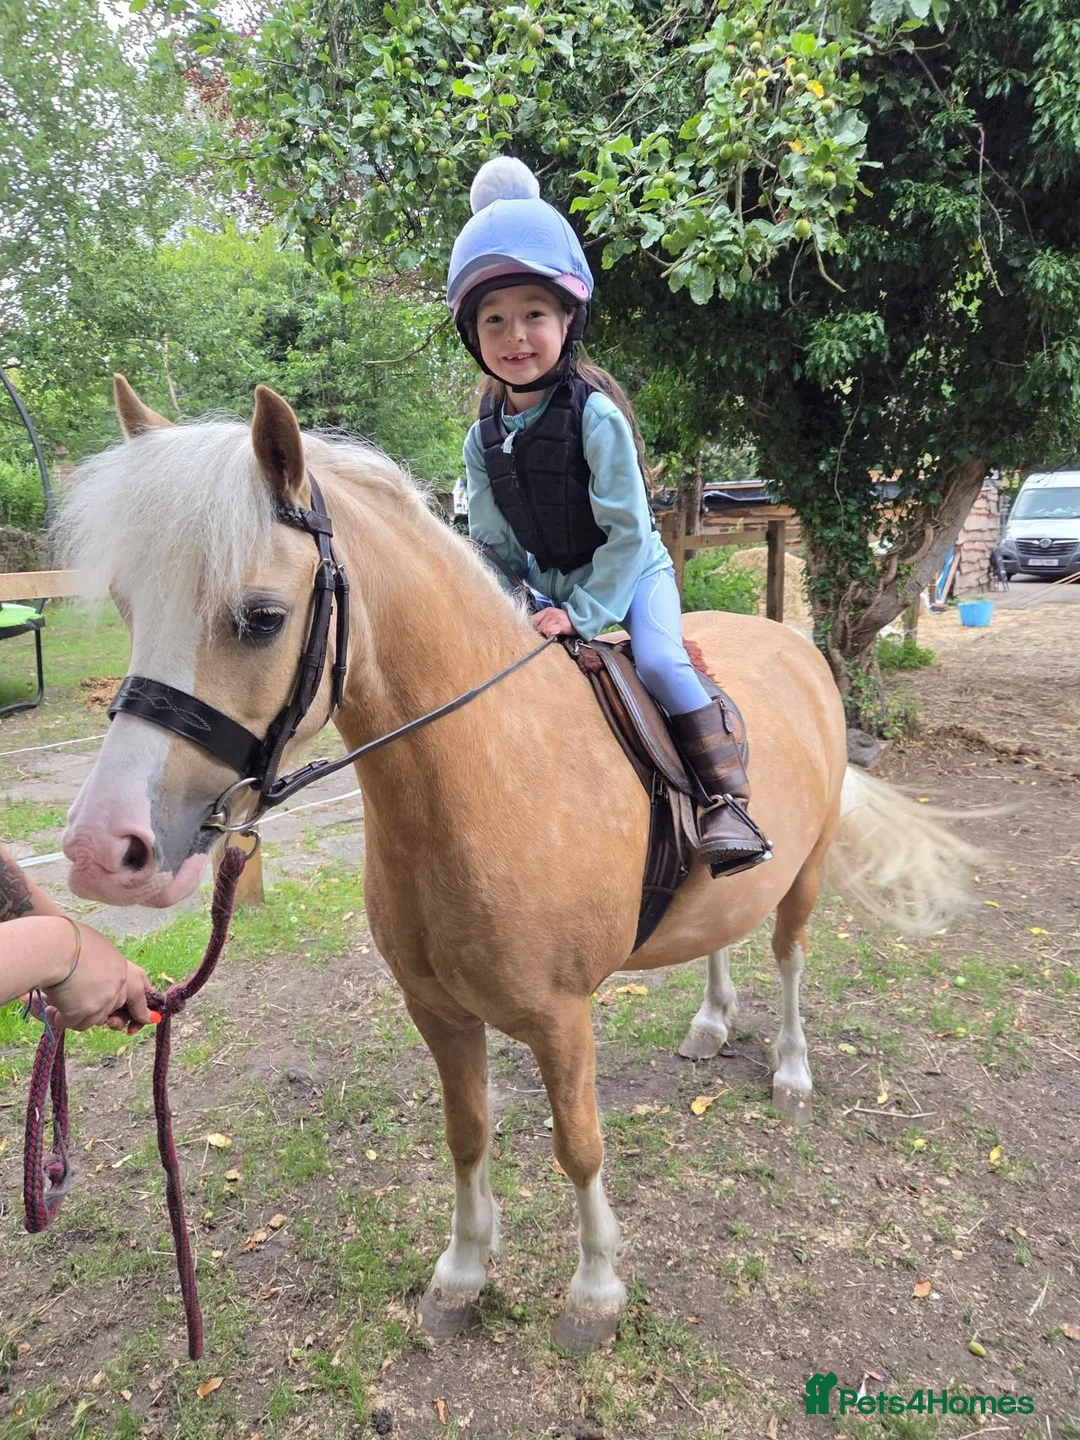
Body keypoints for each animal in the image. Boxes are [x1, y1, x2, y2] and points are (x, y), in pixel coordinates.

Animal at [59, 378, 976, 1352]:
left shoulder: (561, 1019)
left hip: (802, 876)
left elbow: (579, 1145)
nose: (102, 849)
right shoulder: (437, 1013)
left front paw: (595, 1290)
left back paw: (792, 1074)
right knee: (721, 935)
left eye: (262, 618)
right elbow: (467, 1133)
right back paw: (711, 1022)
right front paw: (464, 1273)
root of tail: (799, 646)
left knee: (791, 958)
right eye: (128, 605)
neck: (491, 772)